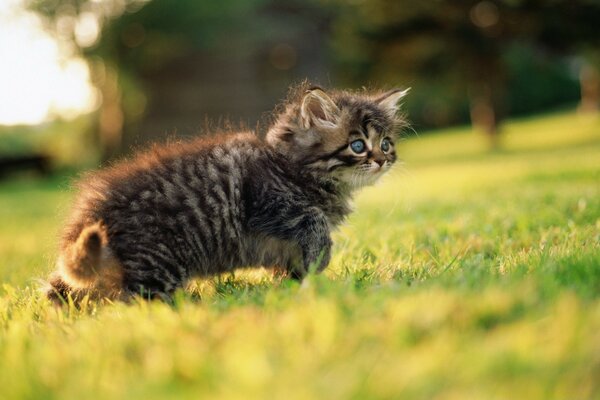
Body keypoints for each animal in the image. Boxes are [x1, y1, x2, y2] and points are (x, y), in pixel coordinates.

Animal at [45, 84, 408, 304]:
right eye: (358, 145)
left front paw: (295, 284)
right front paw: (320, 259)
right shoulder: (265, 200)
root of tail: (88, 214)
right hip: (157, 263)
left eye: (386, 143)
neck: (291, 167)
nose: (383, 160)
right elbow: (314, 220)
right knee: (133, 303)